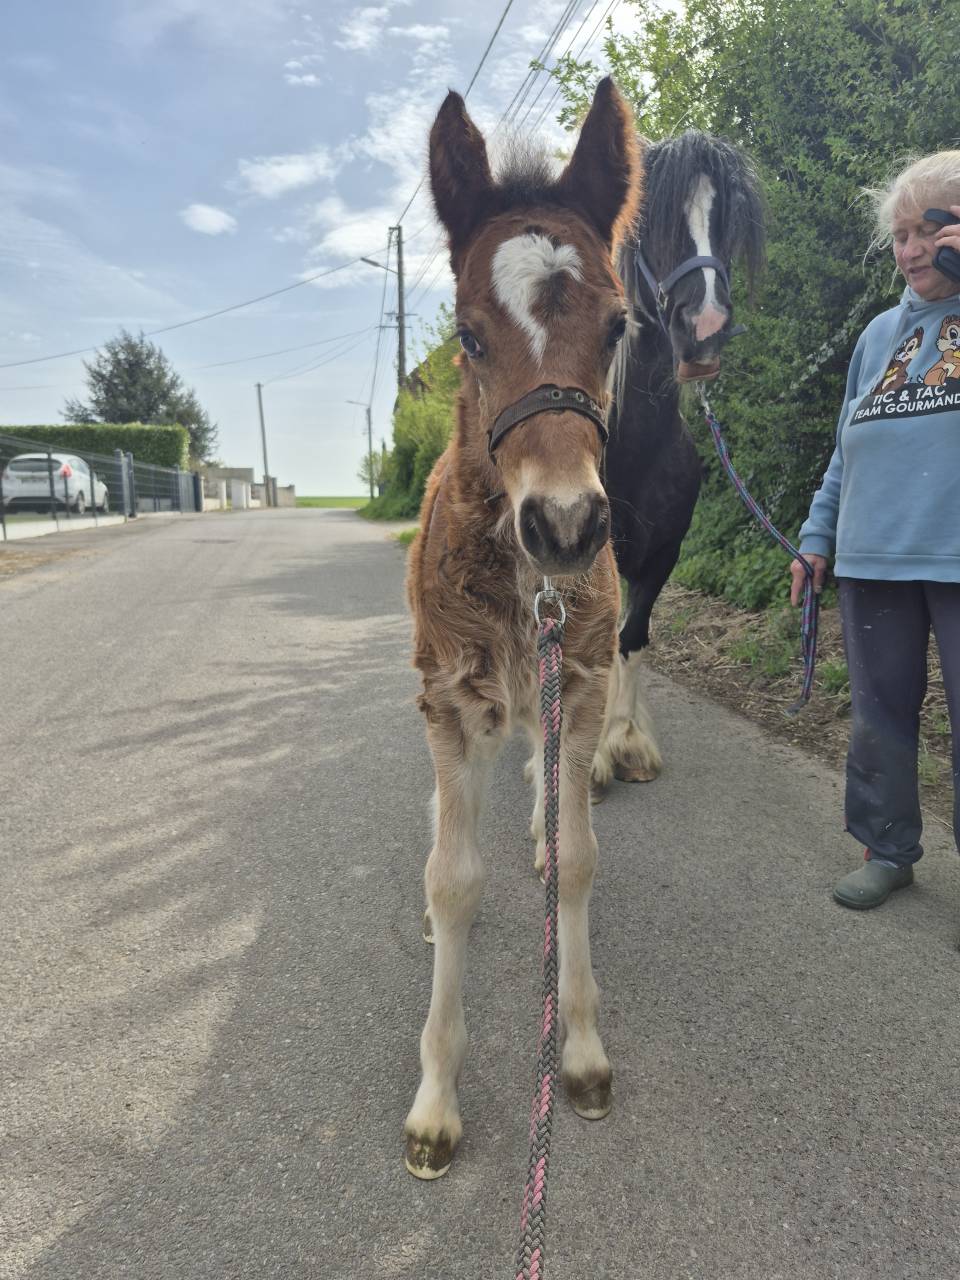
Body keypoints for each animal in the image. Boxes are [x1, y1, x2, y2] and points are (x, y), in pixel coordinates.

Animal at [592, 131, 766, 788]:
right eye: (652, 219)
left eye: (723, 219)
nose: (706, 325)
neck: (634, 445)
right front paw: (588, 757)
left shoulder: (662, 553)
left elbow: (631, 637)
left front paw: (626, 741)